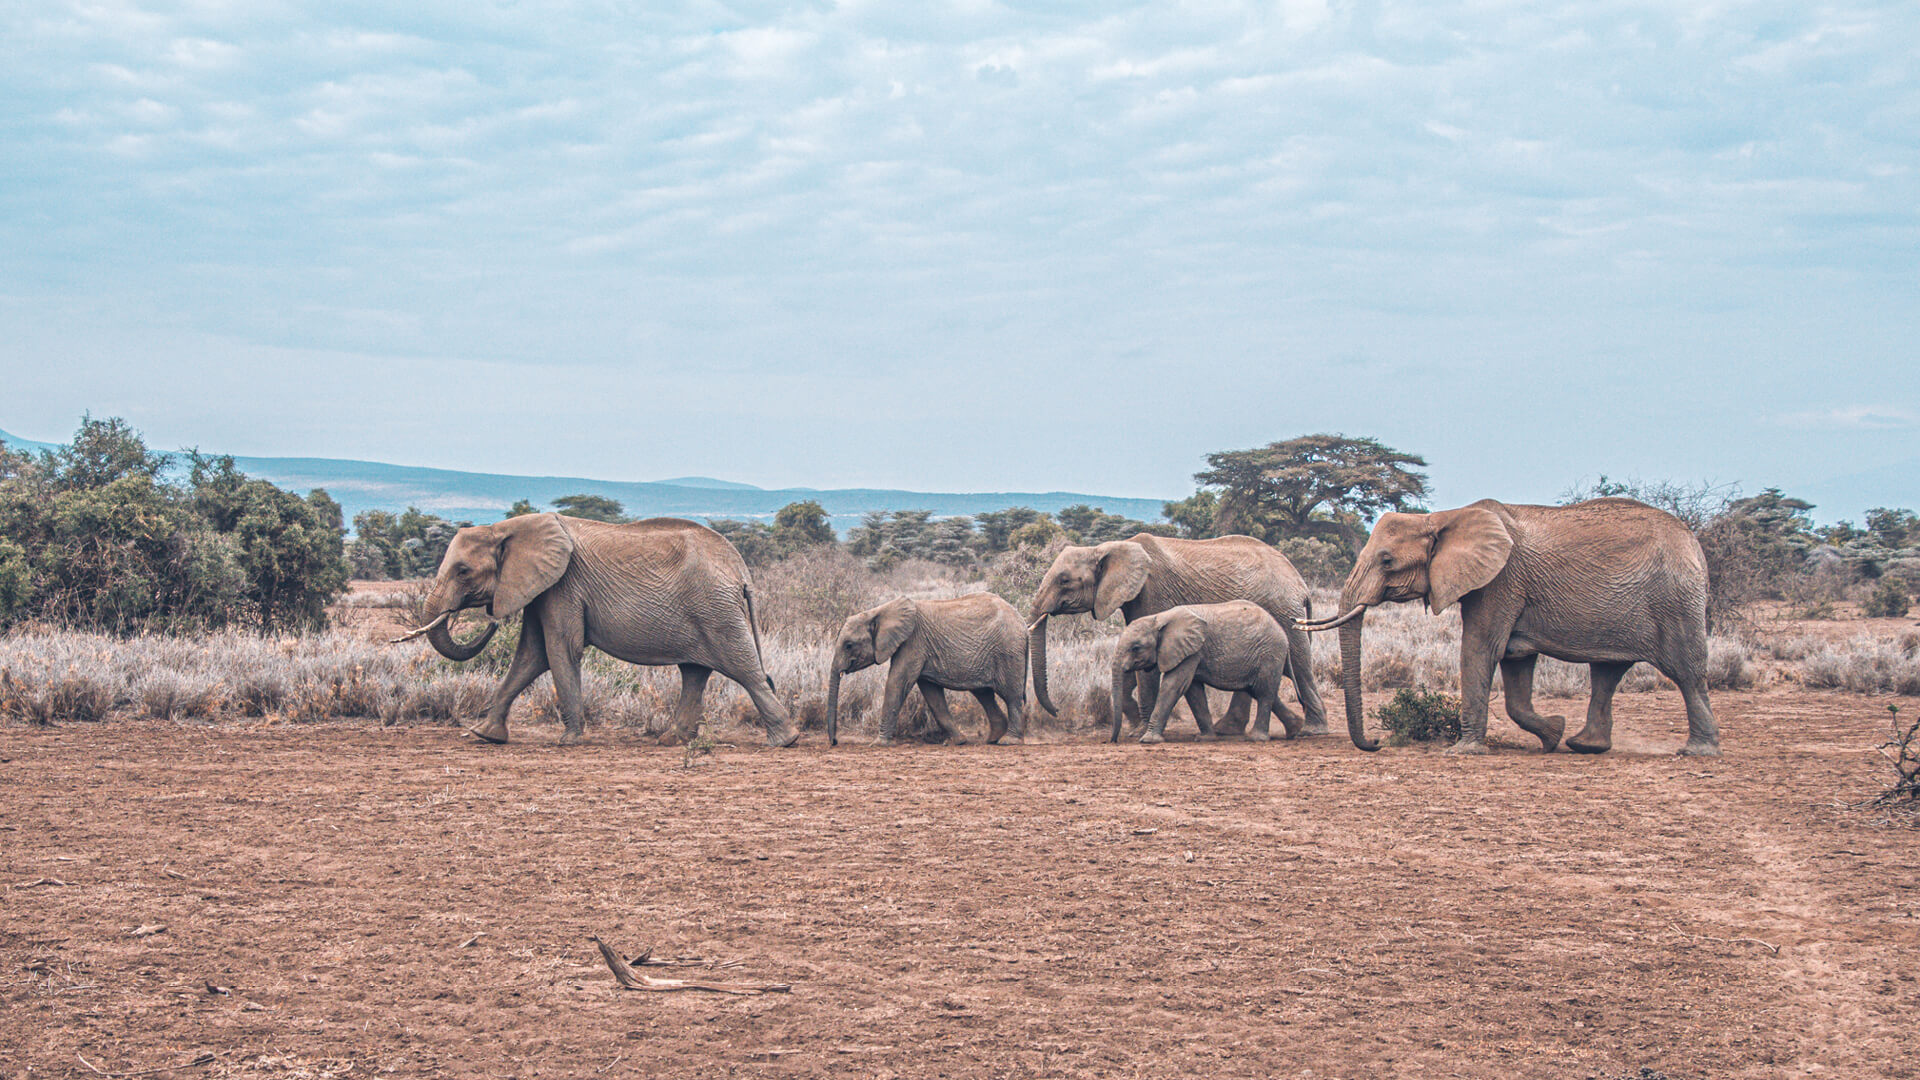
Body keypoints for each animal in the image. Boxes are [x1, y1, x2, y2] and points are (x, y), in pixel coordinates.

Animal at [394, 513, 799, 748]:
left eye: (463, 571)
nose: (491, 620)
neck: (506, 528)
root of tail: (741, 570)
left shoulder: (562, 585)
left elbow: (560, 650)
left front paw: (568, 741)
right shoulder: (541, 588)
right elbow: (530, 656)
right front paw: (484, 735)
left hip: (715, 609)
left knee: (743, 669)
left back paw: (785, 741)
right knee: (695, 671)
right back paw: (670, 740)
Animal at [827, 593, 1029, 746]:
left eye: (849, 645)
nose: (835, 742)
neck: (878, 611)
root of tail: (1022, 621)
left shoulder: (913, 642)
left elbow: (897, 683)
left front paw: (878, 744)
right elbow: (932, 695)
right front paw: (957, 742)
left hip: (1008, 650)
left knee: (1011, 695)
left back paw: (1009, 741)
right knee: (984, 693)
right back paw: (992, 739)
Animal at [1111, 601, 1305, 744]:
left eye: (1136, 648)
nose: (1114, 741)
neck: (1159, 618)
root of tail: (1283, 631)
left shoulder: (1191, 650)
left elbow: (1173, 686)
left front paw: (1148, 740)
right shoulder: (1191, 652)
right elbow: (1193, 691)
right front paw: (1205, 738)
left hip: (1270, 653)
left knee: (1264, 692)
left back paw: (1256, 738)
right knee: (1258, 690)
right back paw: (1295, 730)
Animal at [1298, 497, 1720, 757]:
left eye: (1386, 561)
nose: (1376, 742)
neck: (1443, 518)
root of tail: (1695, 543)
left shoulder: (1500, 581)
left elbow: (1480, 649)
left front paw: (1463, 751)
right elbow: (1515, 664)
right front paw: (1552, 734)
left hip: (1675, 600)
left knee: (1686, 672)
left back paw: (1697, 751)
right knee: (1607, 673)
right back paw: (1584, 745)